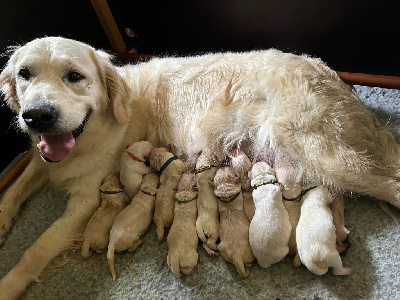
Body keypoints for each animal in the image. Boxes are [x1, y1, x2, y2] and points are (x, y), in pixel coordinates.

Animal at [0, 35, 398, 298]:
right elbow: (15, 189)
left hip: (325, 154)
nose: (36, 116)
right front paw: (4, 220)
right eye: (24, 74)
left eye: (74, 76)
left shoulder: (86, 199)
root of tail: (335, 77)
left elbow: (38, 246)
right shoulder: (42, 160)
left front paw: (10, 282)